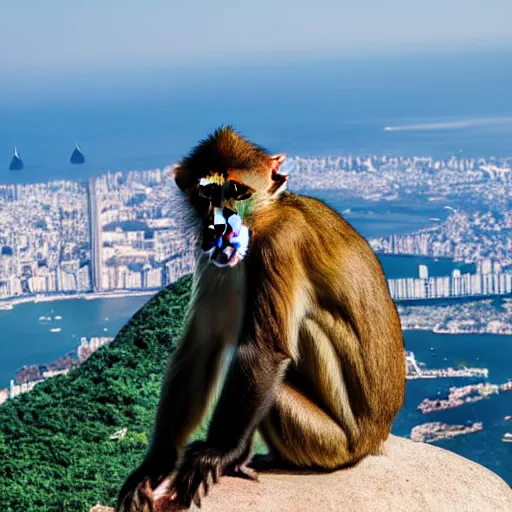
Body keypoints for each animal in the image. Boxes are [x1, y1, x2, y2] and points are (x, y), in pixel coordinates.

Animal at [116, 125, 404, 512]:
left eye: (237, 190)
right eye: (207, 192)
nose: (221, 222)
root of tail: (376, 438)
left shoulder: (278, 244)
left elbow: (263, 350)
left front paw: (217, 452)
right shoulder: (215, 252)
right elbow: (201, 349)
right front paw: (157, 463)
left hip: (335, 442)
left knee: (293, 348)